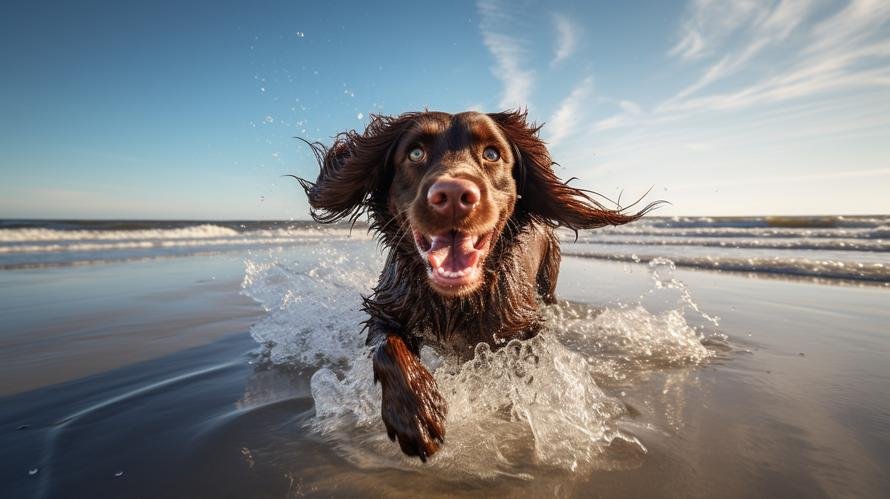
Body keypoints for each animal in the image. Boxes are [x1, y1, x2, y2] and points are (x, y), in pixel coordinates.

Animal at [298, 111, 652, 462]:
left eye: (492, 154)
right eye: (415, 153)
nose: (453, 195)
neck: (454, 302)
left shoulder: (524, 329)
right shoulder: (388, 309)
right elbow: (387, 348)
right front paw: (416, 414)